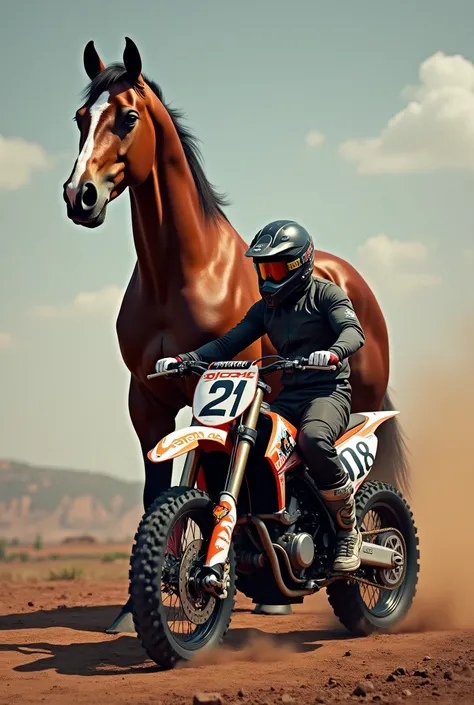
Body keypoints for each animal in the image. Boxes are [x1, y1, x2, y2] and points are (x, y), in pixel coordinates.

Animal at [61, 38, 410, 632]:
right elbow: (166, 492)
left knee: (362, 502)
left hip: (360, 410)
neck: (178, 273)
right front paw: (143, 604)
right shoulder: (149, 400)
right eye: (81, 118)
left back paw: (352, 567)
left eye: (127, 117)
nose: (78, 195)